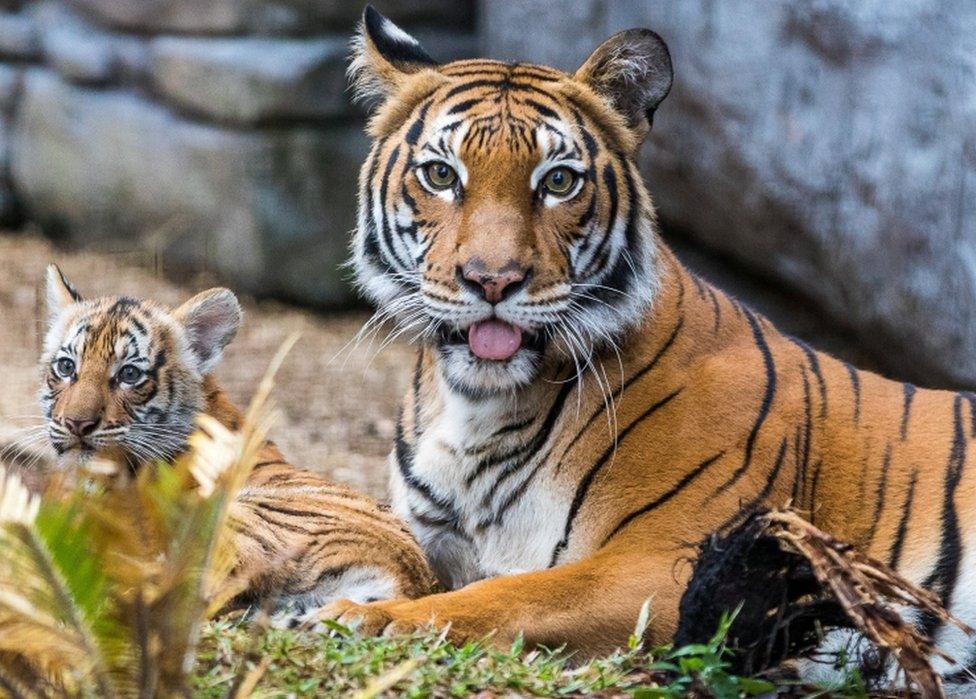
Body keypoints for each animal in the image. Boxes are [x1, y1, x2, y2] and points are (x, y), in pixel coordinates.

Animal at [328, 4, 976, 684]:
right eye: (440, 174)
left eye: (558, 181)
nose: (493, 280)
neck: (477, 404)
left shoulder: (674, 566)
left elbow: (509, 594)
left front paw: (364, 618)